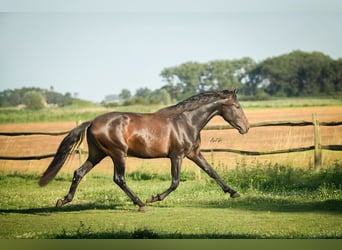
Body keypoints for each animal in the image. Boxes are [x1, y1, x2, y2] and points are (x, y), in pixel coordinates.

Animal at [39, 90, 248, 211]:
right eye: (237, 106)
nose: (246, 128)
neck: (186, 122)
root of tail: (91, 122)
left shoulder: (193, 153)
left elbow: (212, 171)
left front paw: (233, 192)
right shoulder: (177, 156)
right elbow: (175, 182)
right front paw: (154, 198)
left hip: (97, 154)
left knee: (79, 172)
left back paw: (63, 201)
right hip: (118, 154)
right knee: (119, 179)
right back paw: (140, 204)